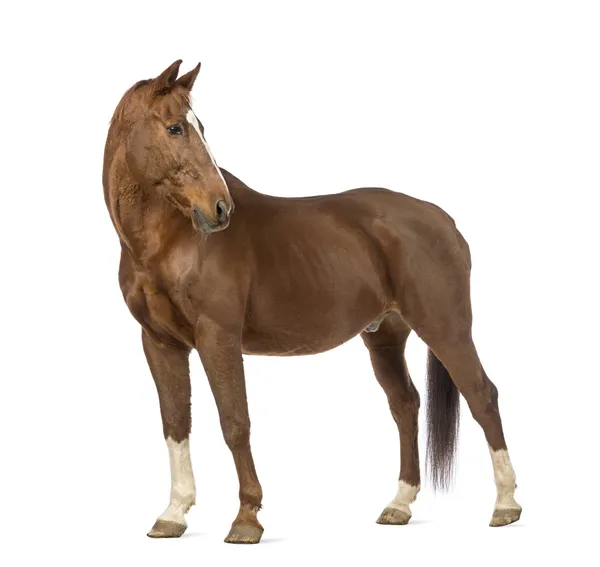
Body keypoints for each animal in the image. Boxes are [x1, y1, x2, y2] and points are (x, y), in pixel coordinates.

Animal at [102, 60, 520, 544]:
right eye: (174, 127)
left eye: (199, 127)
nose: (220, 209)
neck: (169, 241)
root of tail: (445, 221)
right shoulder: (160, 343)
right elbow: (175, 424)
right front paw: (173, 513)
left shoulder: (217, 337)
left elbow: (235, 422)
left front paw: (246, 518)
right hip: (385, 337)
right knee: (406, 406)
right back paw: (399, 505)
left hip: (446, 329)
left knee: (482, 396)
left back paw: (506, 505)